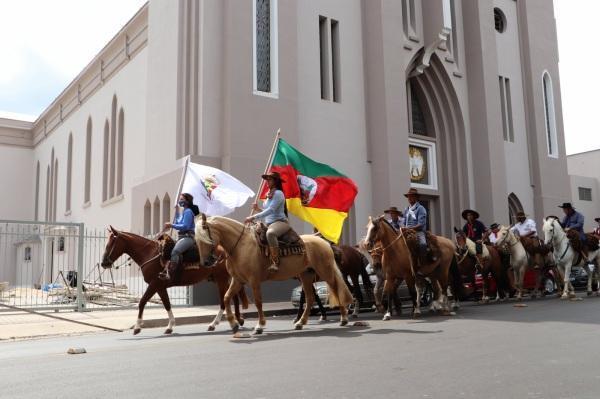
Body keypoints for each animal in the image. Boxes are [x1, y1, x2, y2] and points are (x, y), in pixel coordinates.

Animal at [102, 227, 247, 336]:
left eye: (111, 243)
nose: (104, 263)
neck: (149, 254)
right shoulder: (160, 287)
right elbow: (167, 304)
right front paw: (170, 326)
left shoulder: (154, 284)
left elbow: (142, 302)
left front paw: (137, 327)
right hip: (218, 279)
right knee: (232, 297)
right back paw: (237, 320)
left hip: (221, 279)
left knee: (224, 301)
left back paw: (215, 324)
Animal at [192, 216, 354, 334]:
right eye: (196, 241)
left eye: (205, 238)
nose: (206, 262)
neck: (240, 246)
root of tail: (324, 242)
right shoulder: (237, 280)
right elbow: (226, 298)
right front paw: (233, 324)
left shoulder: (254, 280)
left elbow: (258, 302)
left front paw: (259, 326)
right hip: (306, 276)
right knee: (310, 298)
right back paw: (300, 323)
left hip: (325, 272)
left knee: (336, 289)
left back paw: (344, 318)